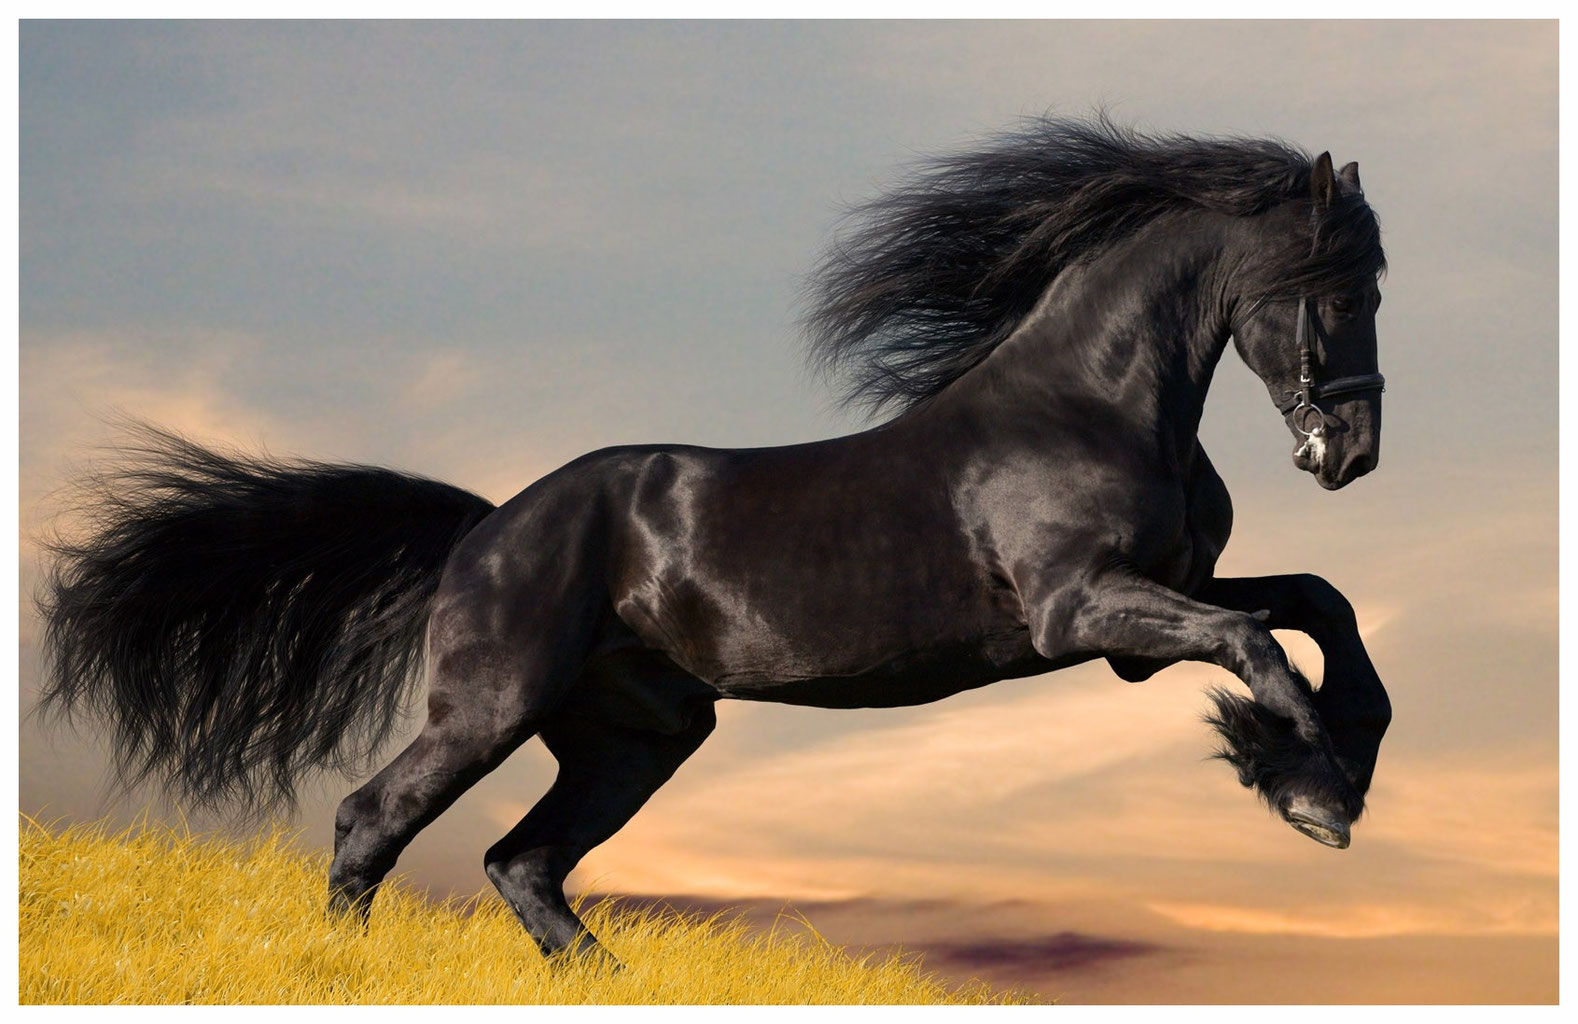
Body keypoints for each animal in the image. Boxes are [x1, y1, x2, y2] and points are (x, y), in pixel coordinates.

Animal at [37, 116, 1392, 966]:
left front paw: (1333, 762)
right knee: (375, 819)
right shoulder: (1084, 612)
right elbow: (1258, 642)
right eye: (1336, 286)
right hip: (491, 705)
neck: (1090, 402)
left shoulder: (1151, 608)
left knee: (523, 861)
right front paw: (1311, 790)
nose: (1353, 452)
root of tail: (486, 527)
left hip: (637, 734)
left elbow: (1317, 604)